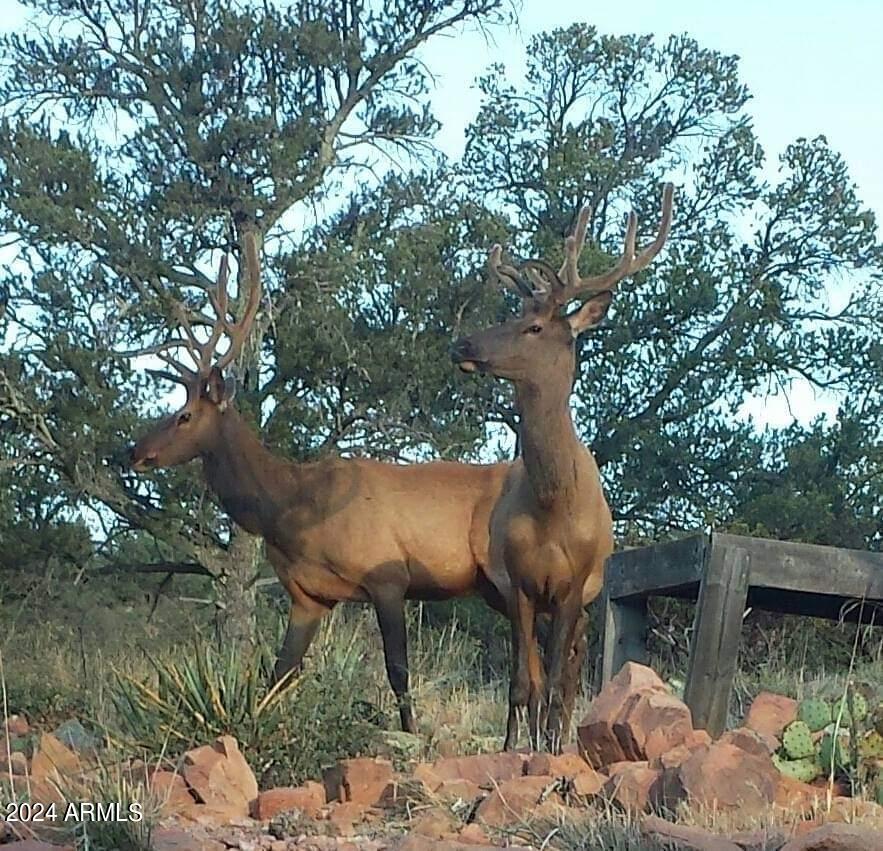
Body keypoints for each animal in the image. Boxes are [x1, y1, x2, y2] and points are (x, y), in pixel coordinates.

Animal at [128, 230, 514, 734]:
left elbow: (398, 672)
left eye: (185, 415)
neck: (291, 508)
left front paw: (413, 736)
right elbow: (278, 674)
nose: (133, 451)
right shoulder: (308, 596)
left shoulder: (388, 575)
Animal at [450, 184, 675, 751]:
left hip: (585, 602)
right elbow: (521, 683)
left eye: (532, 326)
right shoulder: (520, 584)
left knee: (570, 672)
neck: (553, 506)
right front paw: (514, 750)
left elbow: (553, 682)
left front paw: (549, 748)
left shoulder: (573, 586)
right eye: (509, 313)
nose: (462, 344)